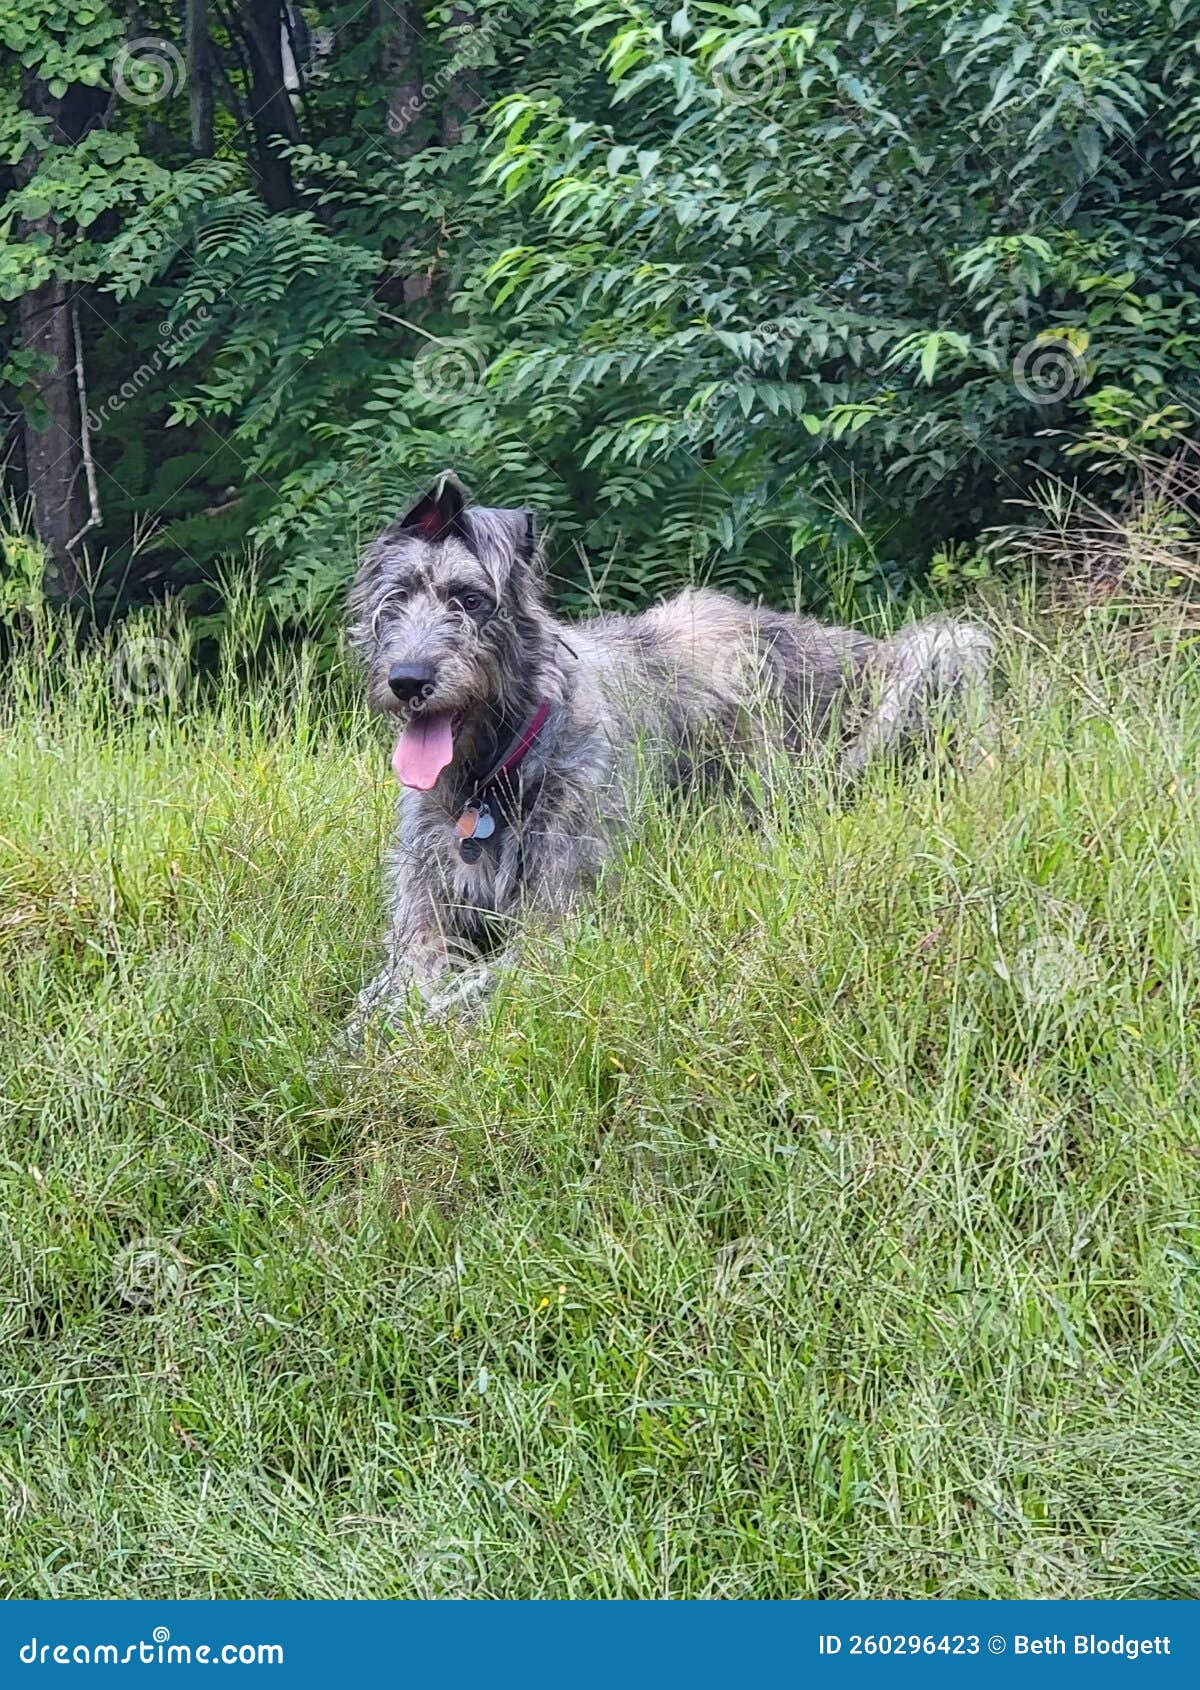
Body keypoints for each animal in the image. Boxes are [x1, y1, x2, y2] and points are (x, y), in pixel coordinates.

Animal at [349, 479, 993, 1027]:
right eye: (396, 597)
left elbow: (461, 993)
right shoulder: (421, 912)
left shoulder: (560, 924)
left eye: (470, 599)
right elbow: (395, 981)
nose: (407, 679)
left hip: (936, 651)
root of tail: (858, 646)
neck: (489, 778)